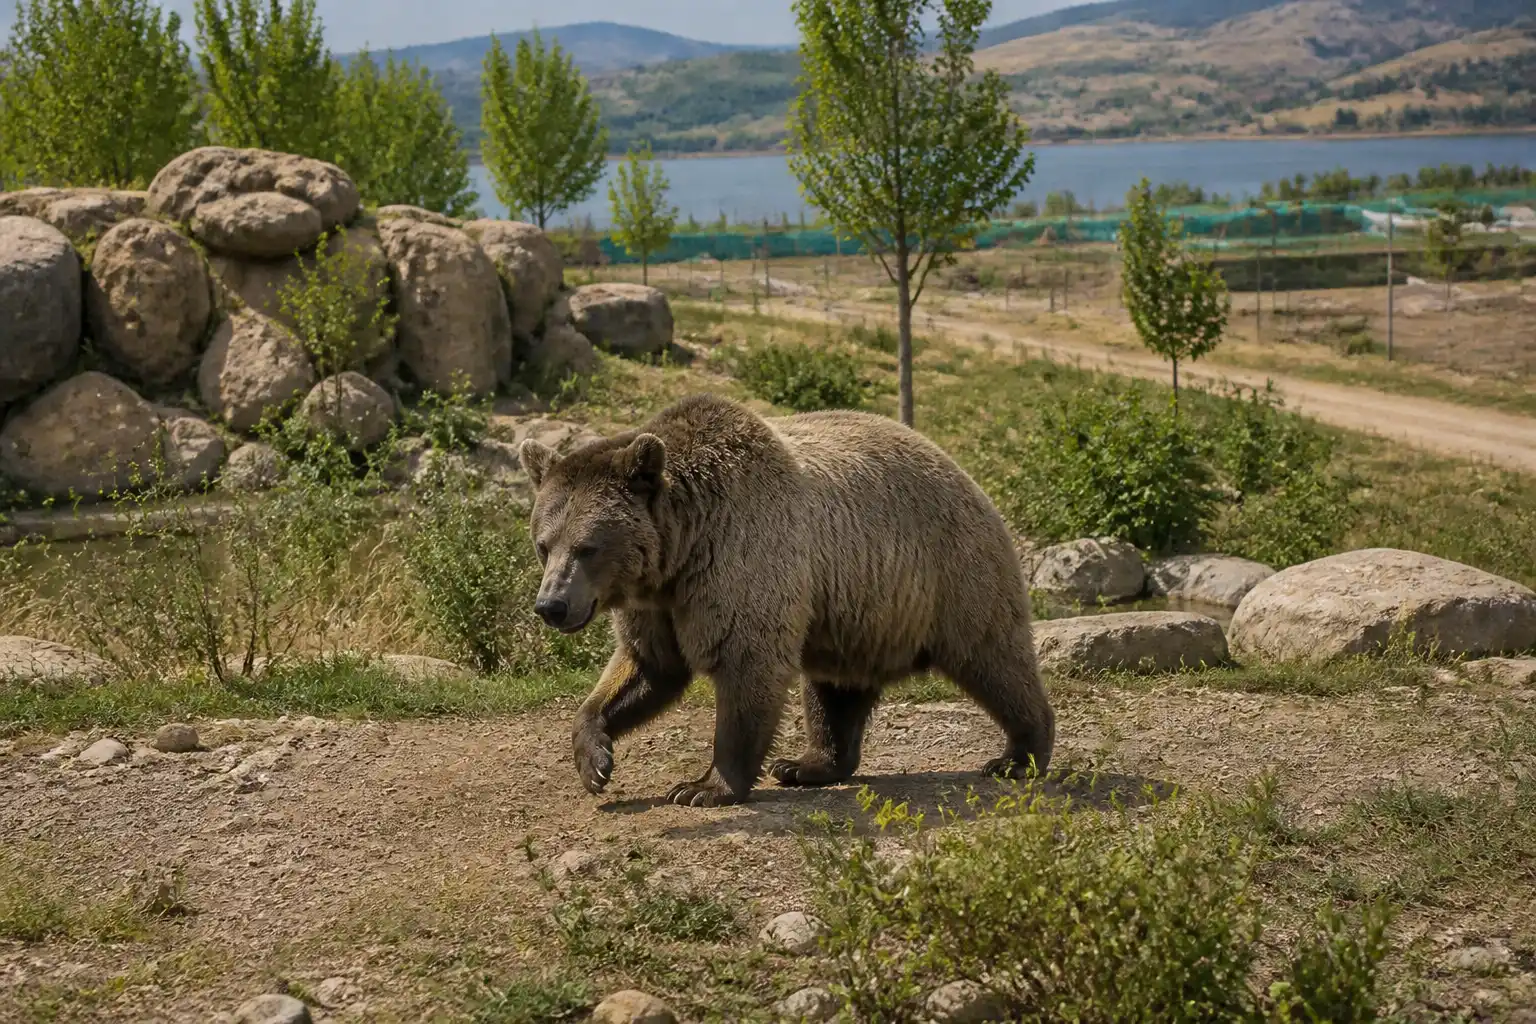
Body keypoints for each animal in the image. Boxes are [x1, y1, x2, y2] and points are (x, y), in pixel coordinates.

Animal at [518, 392, 1055, 807]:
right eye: (544, 544)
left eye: (587, 547)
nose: (552, 606)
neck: (681, 550)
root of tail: (957, 466)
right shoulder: (658, 604)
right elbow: (649, 667)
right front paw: (595, 761)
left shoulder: (742, 558)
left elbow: (746, 664)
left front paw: (703, 787)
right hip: (855, 610)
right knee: (835, 688)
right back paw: (807, 764)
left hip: (949, 572)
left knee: (993, 659)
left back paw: (1018, 755)